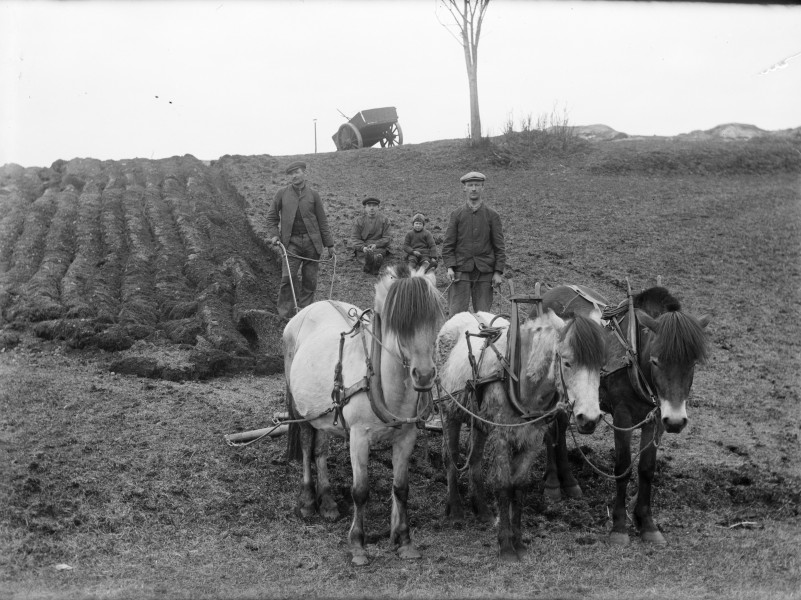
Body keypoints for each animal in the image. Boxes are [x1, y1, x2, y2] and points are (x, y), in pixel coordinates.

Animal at [282, 264, 444, 564]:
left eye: (433, 319)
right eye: (399, 322)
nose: (425, 375)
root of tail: (306, 310)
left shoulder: (406, 437)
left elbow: (401, 488)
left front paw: (404, 541)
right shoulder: (358, 437)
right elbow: (360, 491)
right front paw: (357, 544)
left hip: (324, 413)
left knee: (320, 450)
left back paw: (328, 502)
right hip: (302, 410)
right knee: (308, 446)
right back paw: (308, 501)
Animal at [438, 310, 608, 564]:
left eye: (599, 366)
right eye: (567, 362)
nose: (589, 418)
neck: (522, 383)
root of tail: (462, 315)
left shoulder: (532, 440)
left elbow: (518, 486)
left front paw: (518, 543)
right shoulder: (500, 436)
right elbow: (503, 484)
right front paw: (506, 547)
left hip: (480, 423)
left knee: (475, 460)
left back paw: (483, 511)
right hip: (450, 412)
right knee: (451, 459)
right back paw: (457, 511)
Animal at [540, 284, 708, 544]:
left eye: (691, 364)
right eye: (656, 361)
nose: (676, 421)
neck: (634, 358)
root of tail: (550, 293)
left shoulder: (657, 419)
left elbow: (647, 469)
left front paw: (647, 523)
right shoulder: (622, 416)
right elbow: (623, 467)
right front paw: (619, 526)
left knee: (561, 426)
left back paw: (569, 482)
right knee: (550, 429)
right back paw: (552, 484)